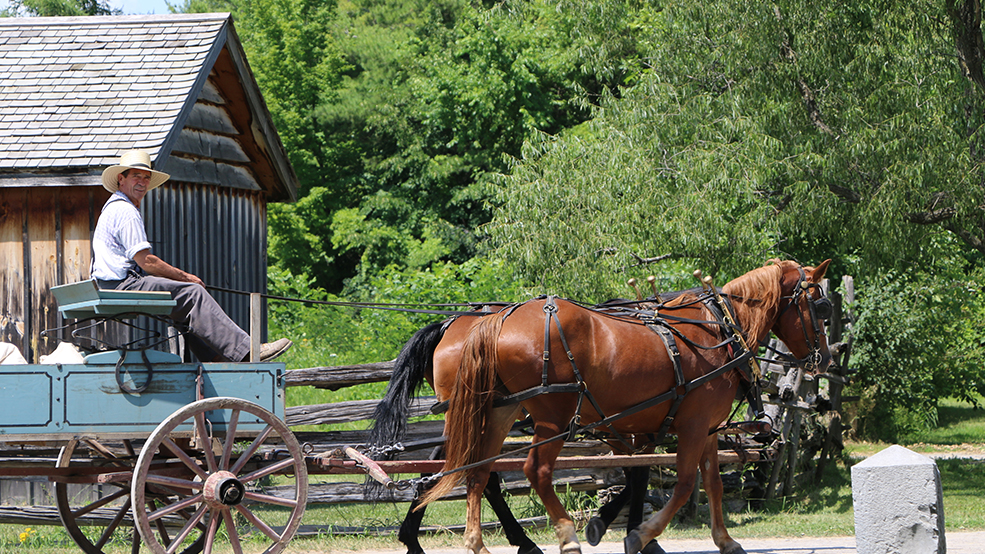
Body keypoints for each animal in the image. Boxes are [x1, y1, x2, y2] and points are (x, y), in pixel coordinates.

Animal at [418, 259, 832, 554]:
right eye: (821, 305)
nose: (825, 359)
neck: (720, 332)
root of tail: (495, 321)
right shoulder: (692, 426)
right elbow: (683, 483)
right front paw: (640, 535)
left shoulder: (705, 428)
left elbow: (709, 482)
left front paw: (725, 540)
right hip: (553, 418)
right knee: (534, 470)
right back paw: (566, 536)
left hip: (499, 411)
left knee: (478, 471)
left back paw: (477, 542)